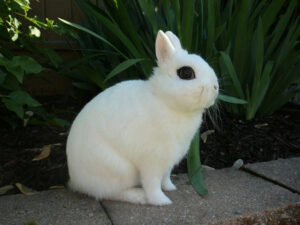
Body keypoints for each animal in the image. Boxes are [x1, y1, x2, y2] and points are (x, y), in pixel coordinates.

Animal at [67, 30, 219, 206]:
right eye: (186, 73)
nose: (216, 87)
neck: (165, 100)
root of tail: (76, 181)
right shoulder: (151, 161)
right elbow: (152, 183)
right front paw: (161, 201)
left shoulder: (168, 161)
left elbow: (165, 177)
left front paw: (170, 188)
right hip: (120, 170)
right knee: (109, 193)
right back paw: (139, 196)